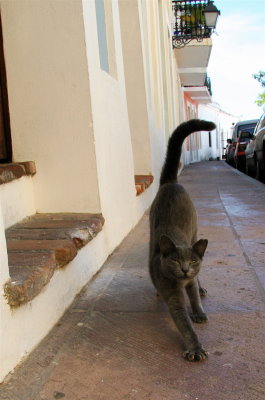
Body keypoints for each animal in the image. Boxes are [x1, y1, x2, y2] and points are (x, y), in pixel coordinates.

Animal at [148, 119, 214, 362]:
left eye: (193, 261)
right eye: (175, 261)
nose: (186, 269)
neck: (181, 282)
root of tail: (171, 182)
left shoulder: (191, 281)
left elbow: (194, 294)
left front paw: (199, 312)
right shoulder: (174, 297)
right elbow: (183, 323)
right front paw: (195, 348)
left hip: (194, 231)